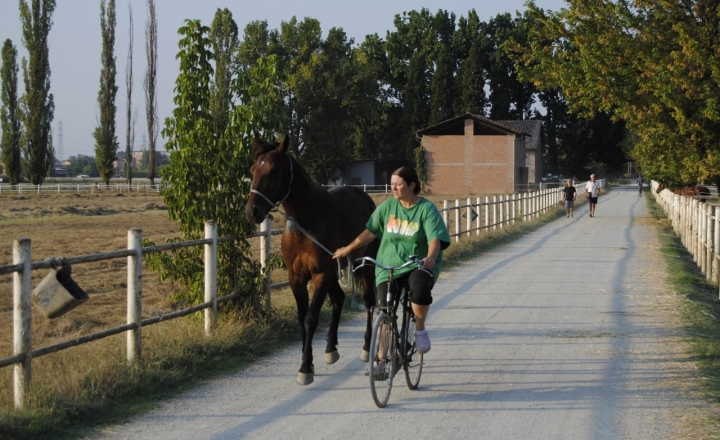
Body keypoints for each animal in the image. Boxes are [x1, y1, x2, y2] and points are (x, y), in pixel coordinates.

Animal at [245, 138, 380, 384]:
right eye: (253, 169)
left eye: (273, 171)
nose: (252, 211)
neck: (305, 224)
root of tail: (365, 198)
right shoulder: (296, 277)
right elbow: (301, 318)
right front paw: (306, 357)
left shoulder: (320, 274)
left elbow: (310, 318)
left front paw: (305, 368)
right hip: (336, 270)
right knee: (338, 299)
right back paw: (330, 347)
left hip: (365, 265)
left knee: (368, 301)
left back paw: (366, 347)